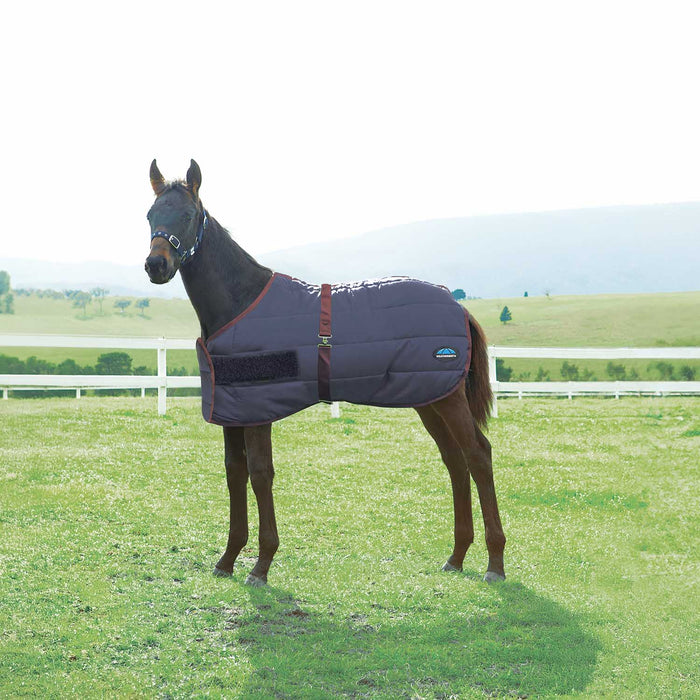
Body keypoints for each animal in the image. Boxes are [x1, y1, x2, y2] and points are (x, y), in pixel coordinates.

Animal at [144, 159, 506, 586]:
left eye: (187, 215)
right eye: (150, 215)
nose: (156, 265)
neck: (241, 302)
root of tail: (458, 306)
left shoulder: (258, 412)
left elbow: (260, 474)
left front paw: (261, 565)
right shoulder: (233, 411)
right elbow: (235, 473)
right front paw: (228, 559)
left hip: (448, 400)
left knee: (478, 455)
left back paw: (495, 563)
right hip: (429, 399)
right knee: (455, 460)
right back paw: (456, 556)